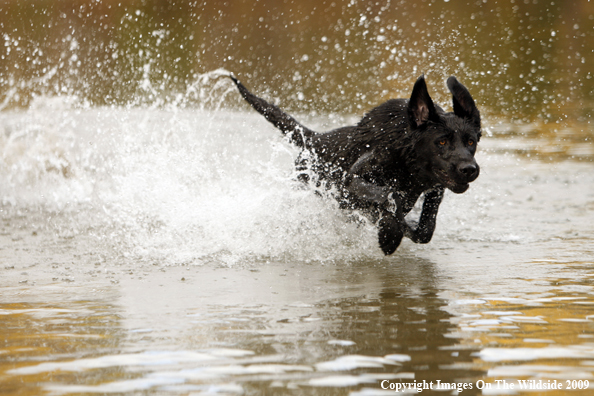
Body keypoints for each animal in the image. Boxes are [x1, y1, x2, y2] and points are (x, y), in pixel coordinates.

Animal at [229, 74, 478, 255]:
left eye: (471, 141)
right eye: (442, 141)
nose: (469, 169)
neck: (405, 160)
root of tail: (313, 139)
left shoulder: (436, 188)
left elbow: (425, 229)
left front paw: (397, 228)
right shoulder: (351, 181)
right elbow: (390, 196)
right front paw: (389, 235)